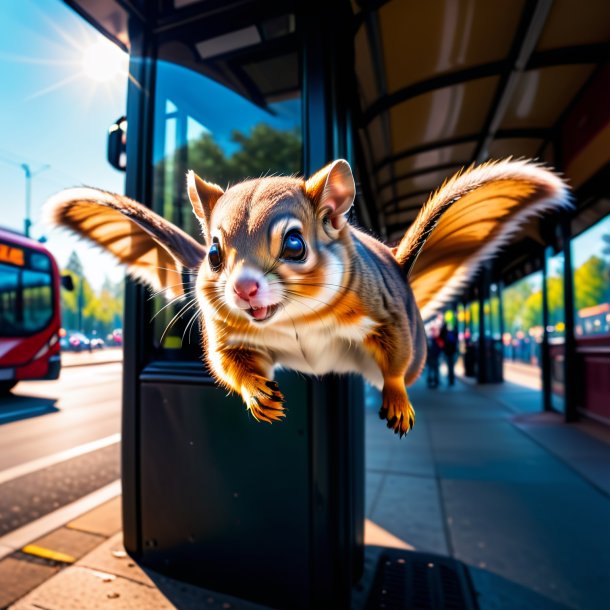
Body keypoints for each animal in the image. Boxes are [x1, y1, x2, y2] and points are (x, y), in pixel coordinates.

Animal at [44, 157, 568, 432]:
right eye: (212, 253)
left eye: (294, 244)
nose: (243, 288)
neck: (294, 319)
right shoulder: (229, 336)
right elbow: (230, 364)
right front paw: (259, 395)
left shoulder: (388, 314)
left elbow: (395, 362)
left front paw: (398, 399)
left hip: (415, 334)